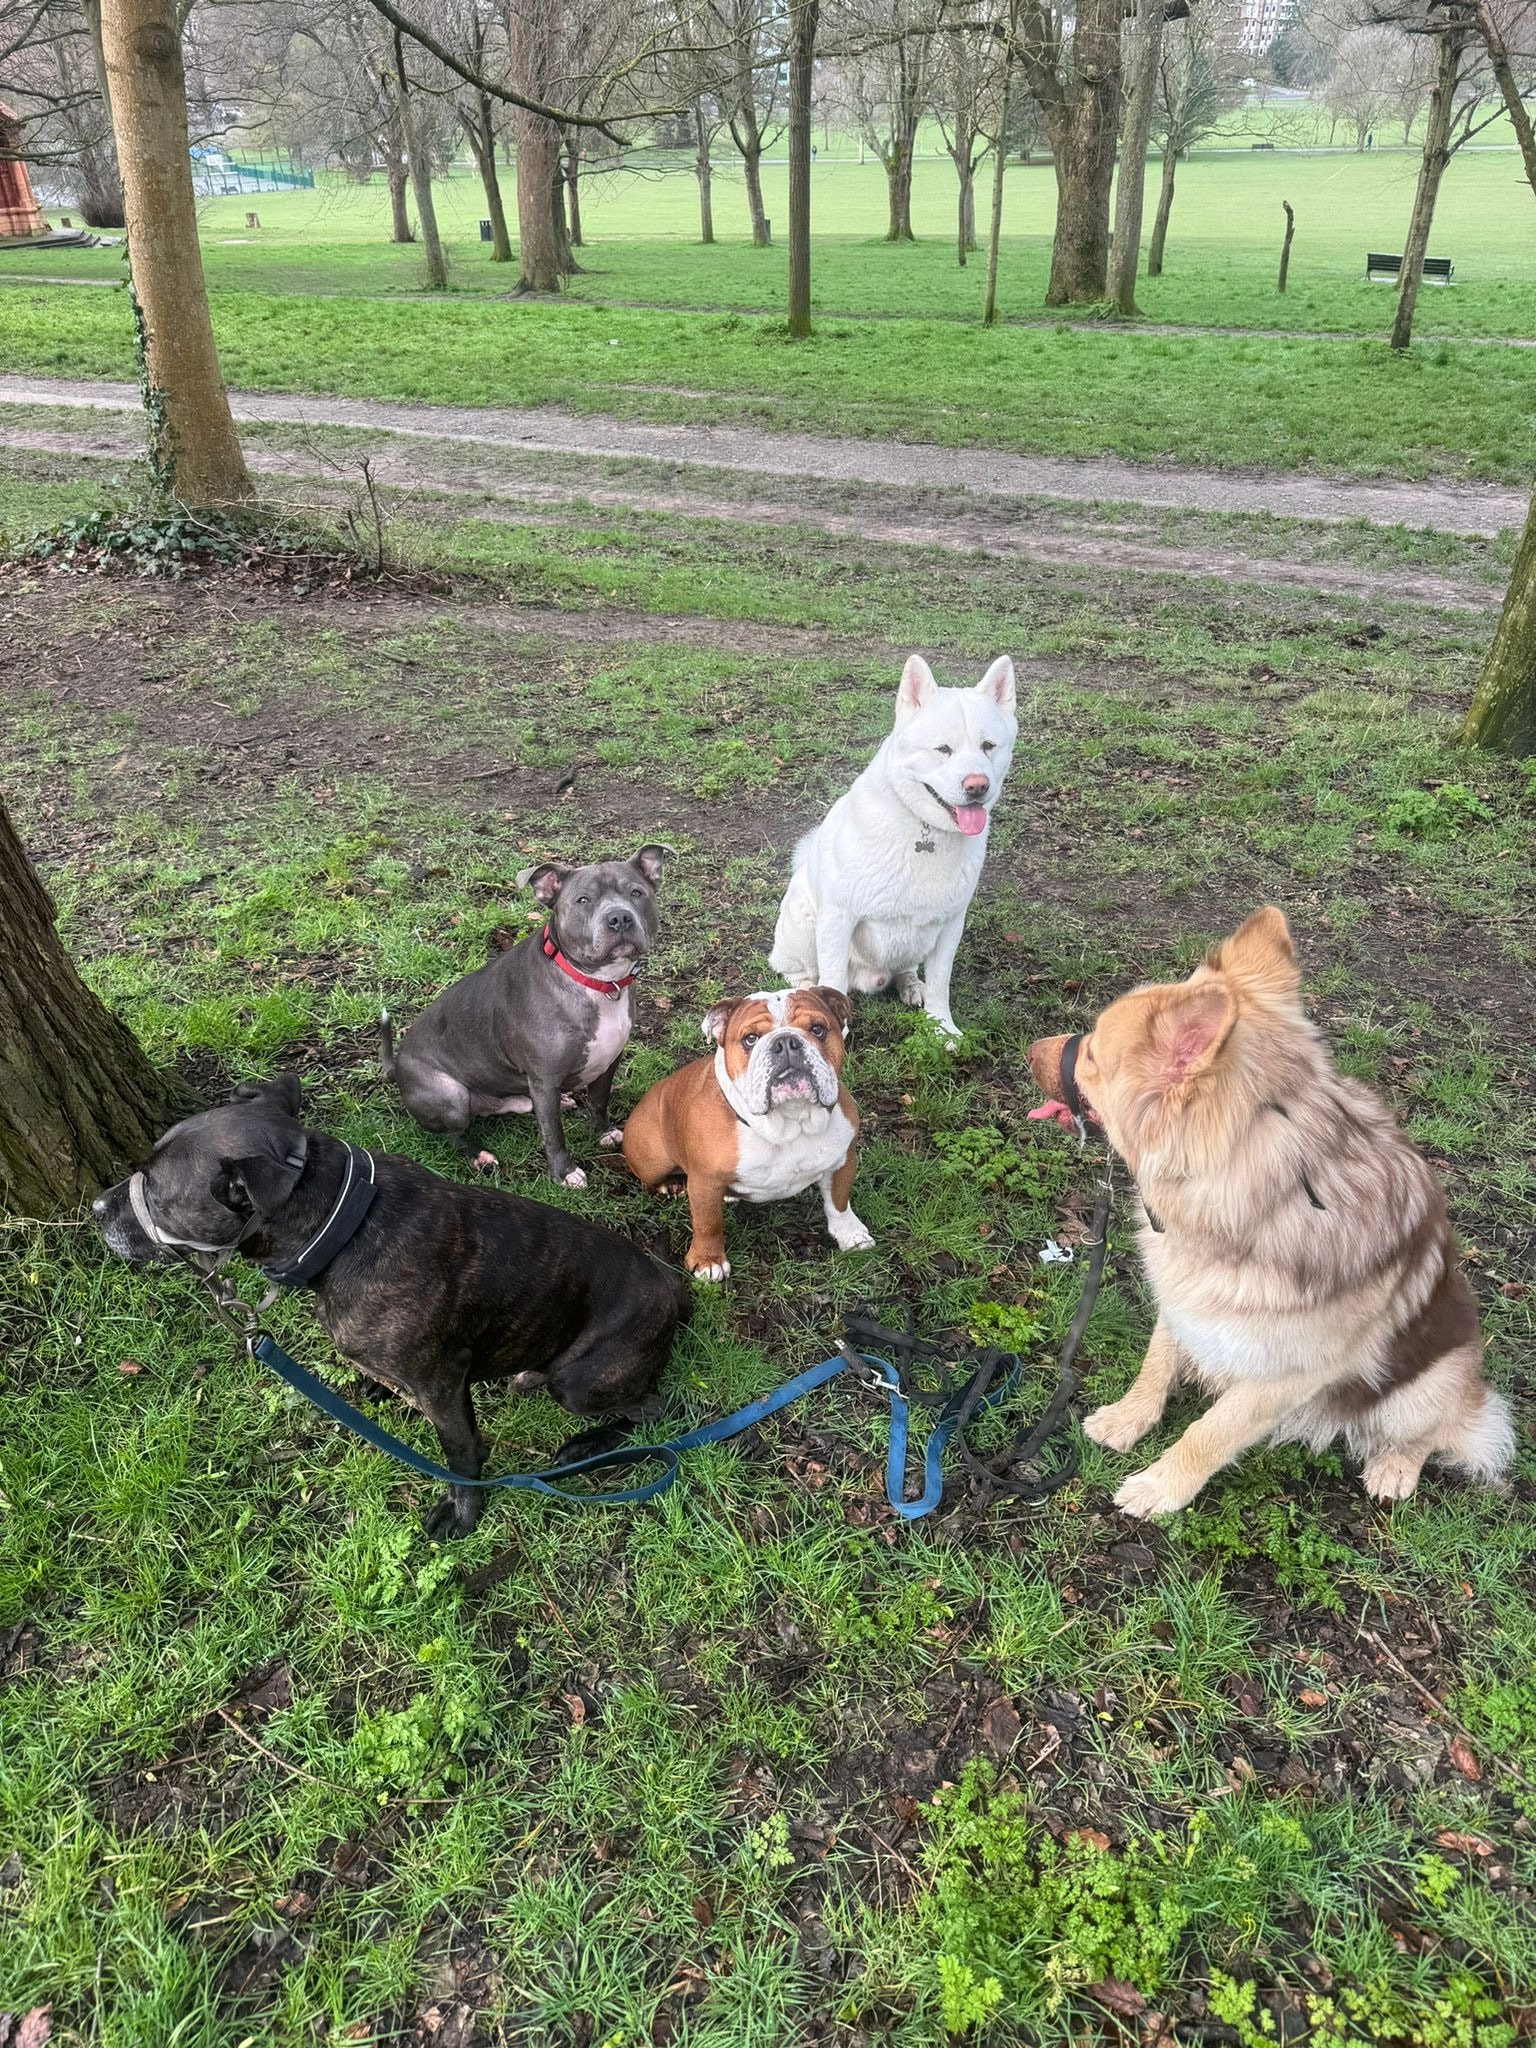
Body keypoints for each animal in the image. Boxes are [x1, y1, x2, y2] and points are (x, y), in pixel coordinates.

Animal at [92, 1075, 689, 1538]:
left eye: (155, 1191)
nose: (96, 1206)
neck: (345, 1227)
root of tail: (671, 1290)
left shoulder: (442, 1385)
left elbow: (461, 1454)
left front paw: (463, 1510)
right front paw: (377, 1386)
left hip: (579, 1383)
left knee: (655, 1407)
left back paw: (589, 1443)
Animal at [382, 847, 666, 1186]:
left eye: (636, 893)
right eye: (583, 899)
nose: (619, 917)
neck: (596, 983)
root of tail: (397, 1068)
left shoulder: (608, 1061)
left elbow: (599, 1101)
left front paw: (603, 1132)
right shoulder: (544, 1079)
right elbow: (553, 1134)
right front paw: (564, 1172)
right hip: (449, 1095)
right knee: (453, 1135)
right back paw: (478, 1155)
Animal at [621, 987, 871, 1282]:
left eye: (818, 1029)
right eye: (750, 1039)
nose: (786, 1042)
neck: (789, 1122)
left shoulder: (843, 1160)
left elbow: (839, 1201)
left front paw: (850, 1233)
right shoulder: (704, 1182)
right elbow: (708, 1223)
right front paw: (708, 1260)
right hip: (653, 1161)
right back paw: (668, 1186)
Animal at [769, 654, 1017, 1043]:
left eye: (988, 746)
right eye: (943, 749)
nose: (978, 786)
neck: (922, 829)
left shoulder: (950, 926)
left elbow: (941, 983)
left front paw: (942, 1028)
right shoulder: (838, 917)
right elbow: (832, 981)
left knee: (906, 969)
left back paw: (911, 984)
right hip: (805, 927)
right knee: (802, 973)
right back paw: (804, 989)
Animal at [1027, 906, 1514, 1517]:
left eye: (1091, 1054)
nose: (1029, 1050)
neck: (1256, 1196)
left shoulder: (1289, 1376)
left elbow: (1209, 1433)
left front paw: (1161, 1487)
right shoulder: (1185, 1298)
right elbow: (1157, 1363)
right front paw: (1126, 1419)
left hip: (1429, 1386)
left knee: (1440, 1430)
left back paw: (1396, 1466)